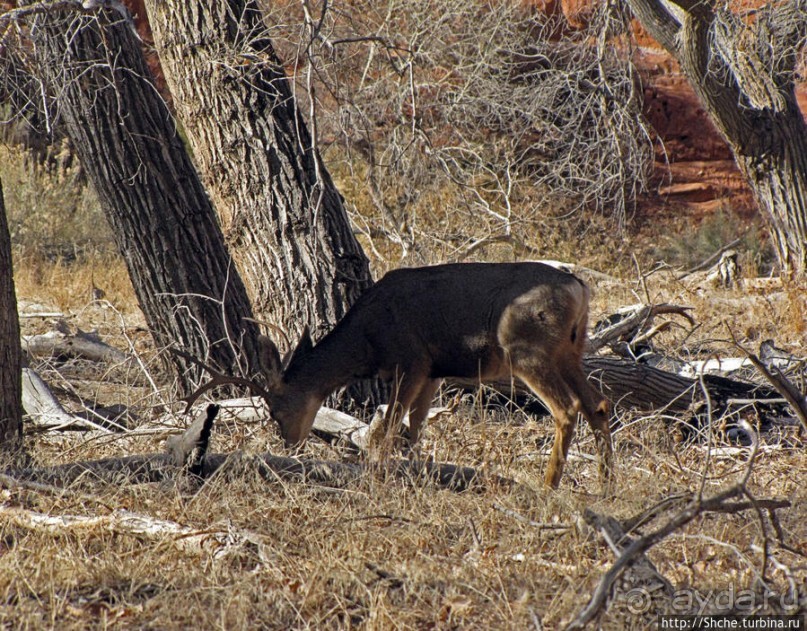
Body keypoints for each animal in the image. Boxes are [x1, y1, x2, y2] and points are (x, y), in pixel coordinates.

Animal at [256, 262, 608, 488]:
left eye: (275, 410)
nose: (289, 445)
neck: (367, 341)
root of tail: (580, 288)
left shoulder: (411, 361)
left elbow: (390, 425)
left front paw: (379, 474)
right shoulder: (432, 371)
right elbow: (416, 425)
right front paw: (417, 472)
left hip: (526, 349)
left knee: (567, 408)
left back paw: (548, 485)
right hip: (571, 350)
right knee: (598, 404)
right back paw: (607, 483)